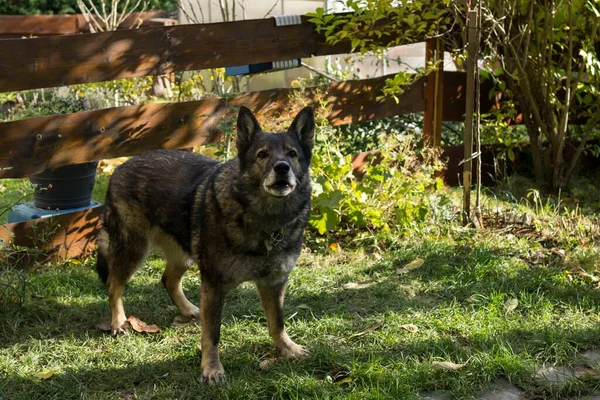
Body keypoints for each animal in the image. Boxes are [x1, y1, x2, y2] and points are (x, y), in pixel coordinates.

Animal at [96, 104, 314, 382]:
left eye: (292, 154)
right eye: (262, 154)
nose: (282, 167)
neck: (265, 220)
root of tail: (120, 167)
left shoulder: (273, 284)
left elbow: (278, 322)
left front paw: (287, 349)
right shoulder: (214, 285)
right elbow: (212, 334)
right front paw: (211, 368)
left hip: (183, 254)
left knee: (168, 280)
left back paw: (189, 310)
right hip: (132, 249)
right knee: (114, 285)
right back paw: (117, 323)